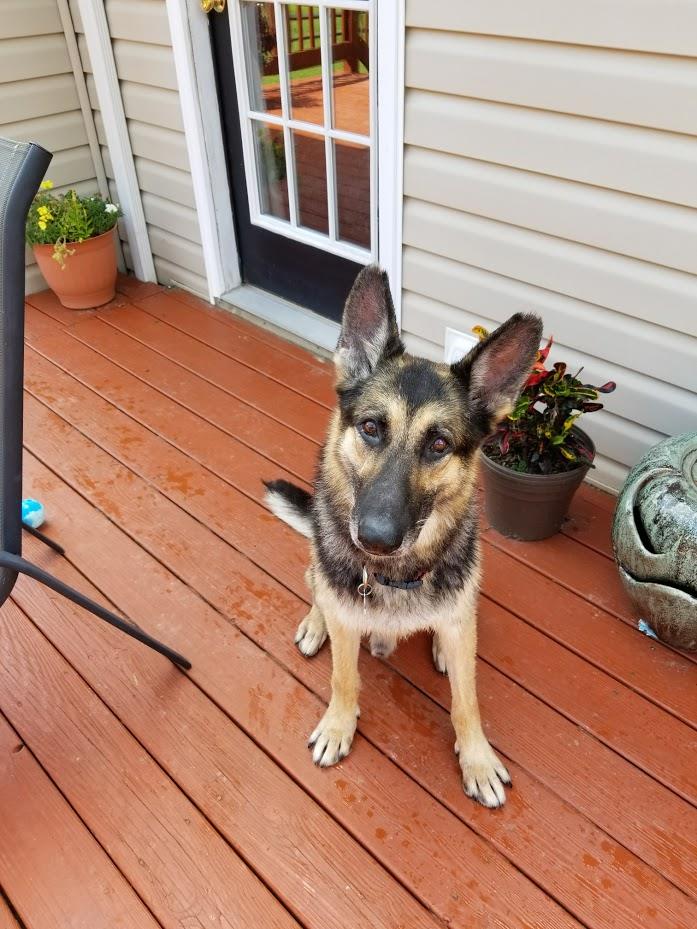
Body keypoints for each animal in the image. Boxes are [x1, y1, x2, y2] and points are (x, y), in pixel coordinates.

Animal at [265, 266, 542, 808]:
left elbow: (467, 701)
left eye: (438, 444)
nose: (375, 539)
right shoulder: (347, 620)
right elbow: (344, 679)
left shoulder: (459, 627)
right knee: (316, 585)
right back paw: (315, 623)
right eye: (372, 427)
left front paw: (477, 758)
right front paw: (339, 725)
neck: (396, 576)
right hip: (320, 569)